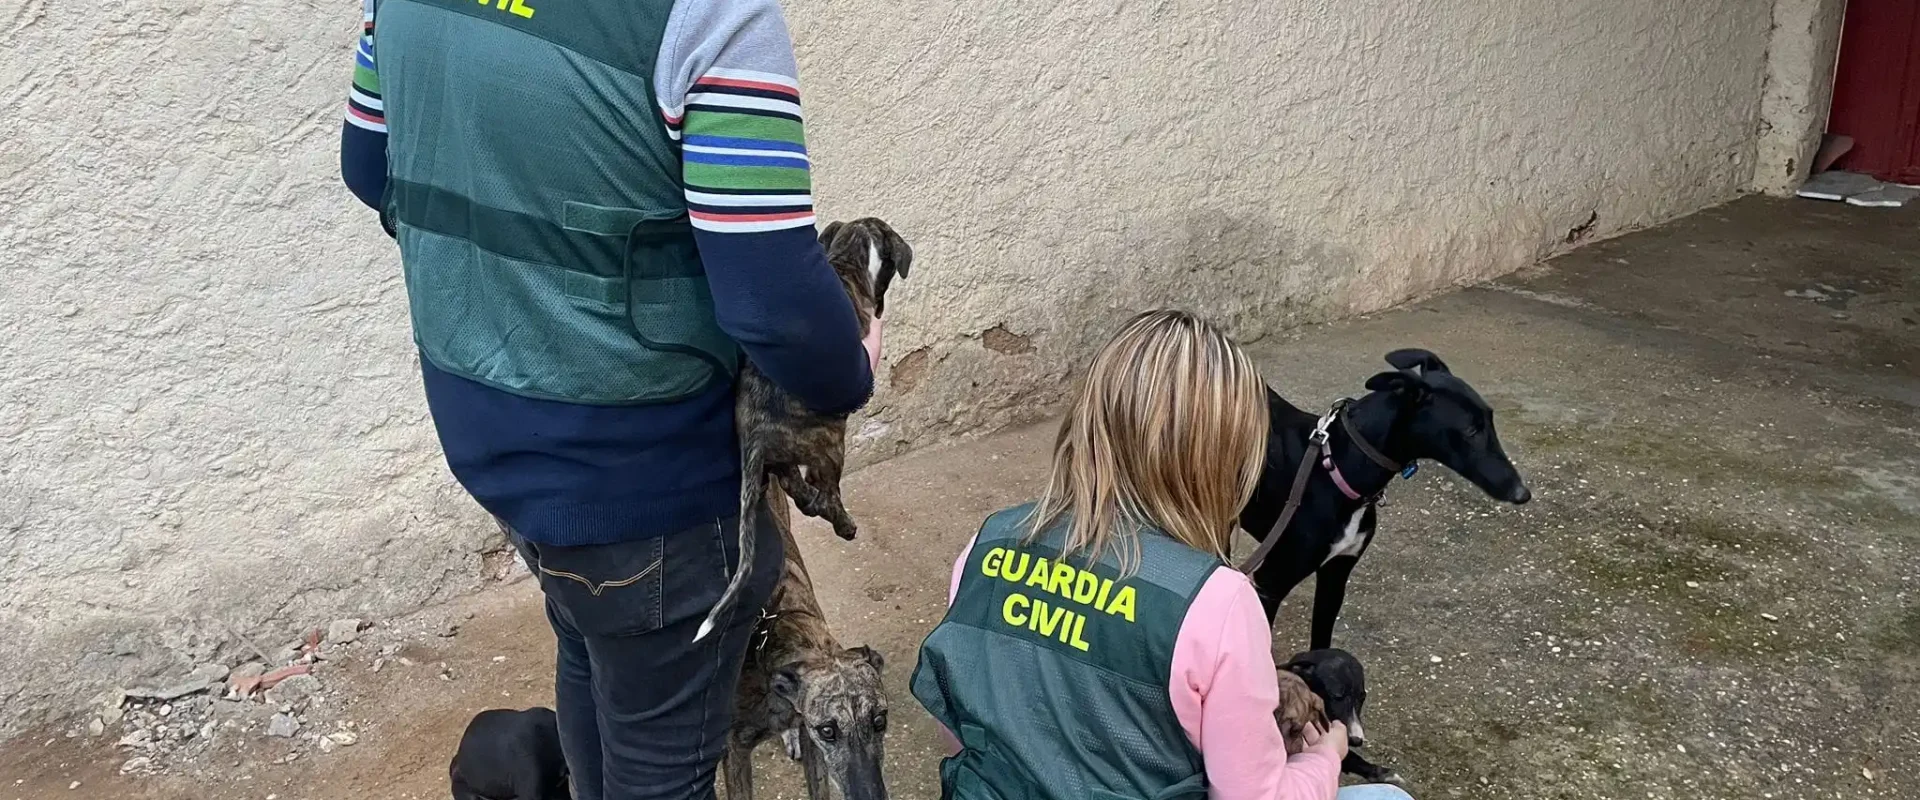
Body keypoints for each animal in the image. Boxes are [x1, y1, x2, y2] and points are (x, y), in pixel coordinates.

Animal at [698, 218, 913, 640]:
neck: (845, 257)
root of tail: (756, 436)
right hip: (830, 444)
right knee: (824, 493)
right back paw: (844, 524)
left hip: (785, 457)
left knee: (794, 485)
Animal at [1244, 347, 1528, 648]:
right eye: (1471, 431)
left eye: (1490, 420)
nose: (1522, 493)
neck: (1337, 466)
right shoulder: (1270, 583)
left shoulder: (1336, 572)